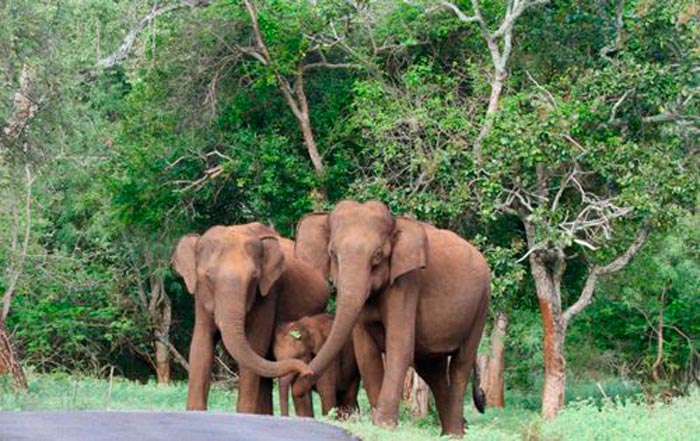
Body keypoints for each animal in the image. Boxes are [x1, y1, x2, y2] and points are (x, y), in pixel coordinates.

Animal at [174, 223, 330, 412]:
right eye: (208, 277)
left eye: (253, 278)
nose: (307, 371)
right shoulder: (199, 297)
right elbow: (201, 345)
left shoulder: (269, 292)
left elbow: (255, 344)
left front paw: (244, 413)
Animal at [292, 201, 490, 434]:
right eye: (332, 252)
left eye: (378, 255)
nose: (298, 382)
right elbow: (366, 354)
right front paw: (378, 423)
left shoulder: (407, 283)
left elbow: (400, 346)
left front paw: (384, 425)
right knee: (433, 370)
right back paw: (449, 433)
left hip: (481, 305)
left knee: (460, 365)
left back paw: (455, 434)